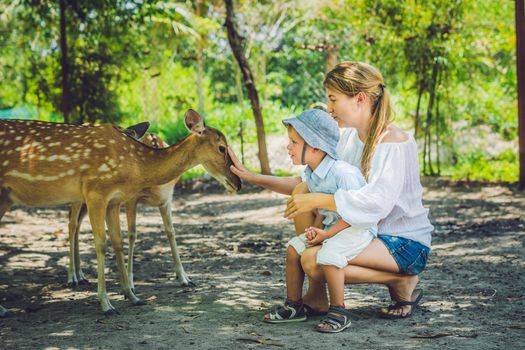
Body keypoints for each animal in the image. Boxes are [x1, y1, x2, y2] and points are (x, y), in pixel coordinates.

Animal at [0, 110, 242, 318]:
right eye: (222, 147)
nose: (238, 183)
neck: (135, 164)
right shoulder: (96, 191)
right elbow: (101, 244)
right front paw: (106, 303)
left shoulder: (114, 200)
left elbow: (118, 241)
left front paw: (132, 296)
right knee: (72, 226)